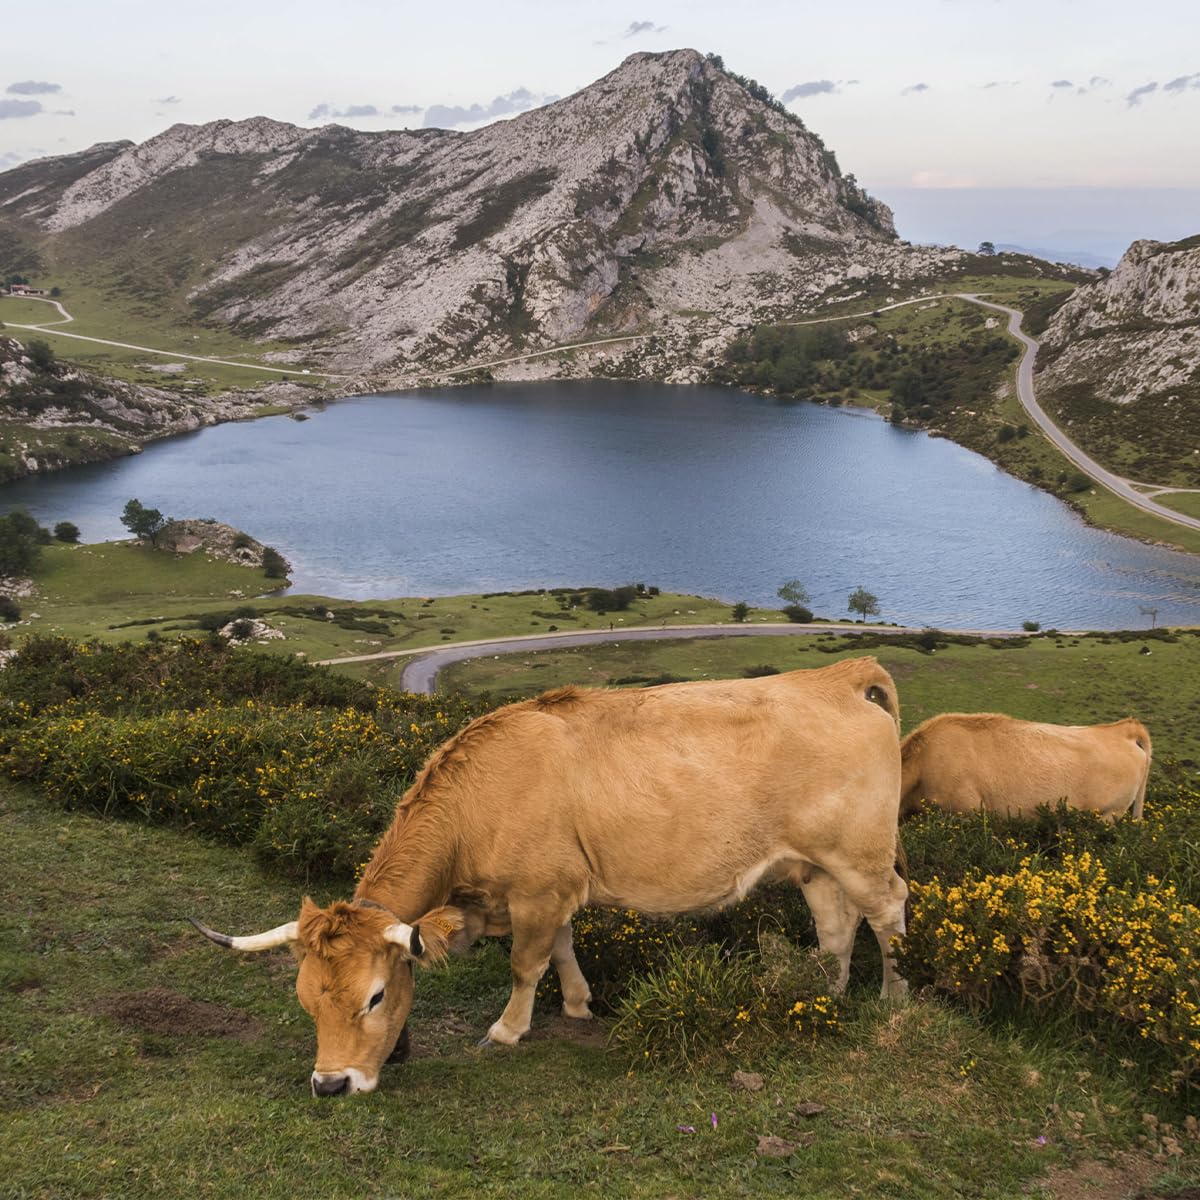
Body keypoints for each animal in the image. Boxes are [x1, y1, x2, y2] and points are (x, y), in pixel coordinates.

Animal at [191, 656, 909, 1097]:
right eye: (306, 1000)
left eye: (374, 997)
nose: (331, 1084)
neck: (477, 800)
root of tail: (839, 675)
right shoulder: (551, 890)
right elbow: (562, 949)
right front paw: (579, 1002)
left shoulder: (536, 893)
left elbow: (525, 964)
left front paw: (507, 1030)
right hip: (814, 865)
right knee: (836, 927)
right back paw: (825, 993)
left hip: (861, 856)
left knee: (887, 911)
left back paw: (892, 997)